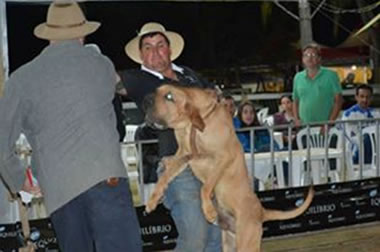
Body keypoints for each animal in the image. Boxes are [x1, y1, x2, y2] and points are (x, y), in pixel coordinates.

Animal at [144, 84, 314, 252]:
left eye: (169, 97)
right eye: (156, 91)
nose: (147, 100)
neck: (197, 122)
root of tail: (261, 211)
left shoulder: (223, 157)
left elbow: (205, 187)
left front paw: (209, 210)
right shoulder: (183, 156)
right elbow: (165, 177)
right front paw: (152, 200)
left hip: (246, 243)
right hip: (230, 242)